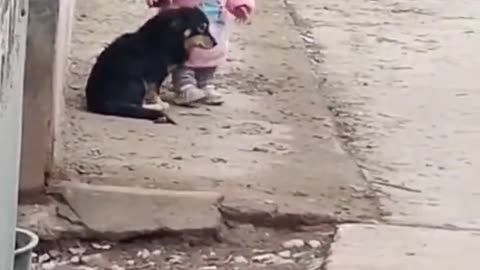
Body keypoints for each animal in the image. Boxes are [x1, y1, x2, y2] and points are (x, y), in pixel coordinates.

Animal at [84, 7, 216, 123]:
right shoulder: (156, 75)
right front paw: (160, 103)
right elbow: (155, 92)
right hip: (137, 83)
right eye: (202, 27)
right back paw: (156, 107)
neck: (171, 36)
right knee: (137, 104)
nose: (216, 43)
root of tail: (100, 103)